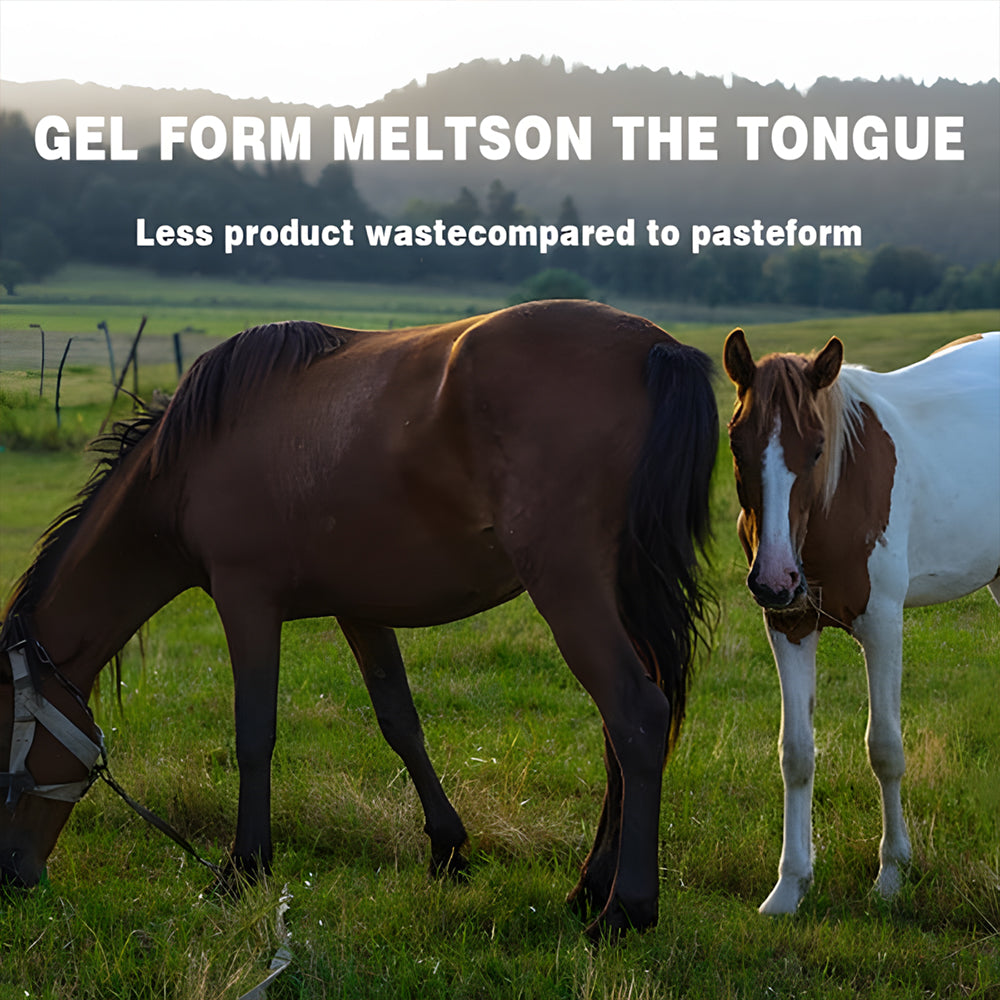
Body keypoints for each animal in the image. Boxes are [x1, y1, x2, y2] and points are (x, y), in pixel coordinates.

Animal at [0, 299, 719, 939]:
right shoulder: (360, 611)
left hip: (568, 588)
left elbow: (254, 734)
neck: (194, 454)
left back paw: (624, 911)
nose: (14, 877)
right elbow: (400, 723)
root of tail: (654, 347)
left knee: (635, 716)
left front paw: (243, 868)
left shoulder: (246, 602)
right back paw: (590, 886)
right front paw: (447, 849)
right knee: (622, 732)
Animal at [722, 327, 1000, 915]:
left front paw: (892, 874)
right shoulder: (789, 626)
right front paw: (790, 885)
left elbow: (885, 749)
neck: (836, 501)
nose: (774, 578)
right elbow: (796, 752)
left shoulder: (882, 624)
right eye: (736, 443)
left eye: (817, 447)